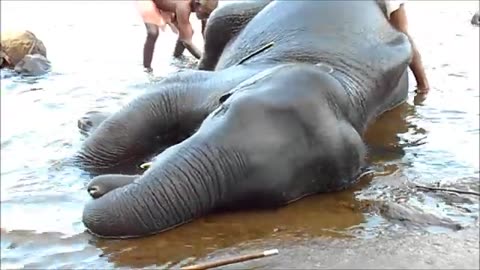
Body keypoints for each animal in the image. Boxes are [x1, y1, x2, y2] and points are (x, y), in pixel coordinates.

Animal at [76, 0, 412, 237]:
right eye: (223, 110)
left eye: (276, 195)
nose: (94, 190)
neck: (346, 91)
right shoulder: (229, 78)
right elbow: (165, 95)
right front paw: (81, 164)